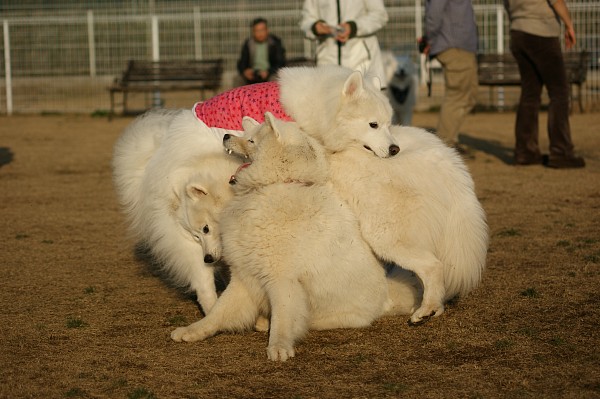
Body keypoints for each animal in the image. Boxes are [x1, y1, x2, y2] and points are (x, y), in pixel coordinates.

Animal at [171, 113, 420, 362]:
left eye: (251, 141)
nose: (225, 136)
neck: (273, 185)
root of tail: (387, 295)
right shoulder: (244, 274)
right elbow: (219, 312)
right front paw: (193, 331)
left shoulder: (281, 280)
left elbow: (283, 317)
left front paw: (279, 346)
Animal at [278, 67, 490, 326]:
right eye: (373, 124)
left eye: (388, 124)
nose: (394, 149)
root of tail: (451, 171)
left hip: (385, 236)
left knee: (433, 266)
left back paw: (426, 310)